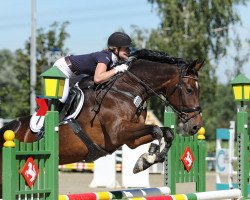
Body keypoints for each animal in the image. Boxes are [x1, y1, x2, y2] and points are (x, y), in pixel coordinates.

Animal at [0, 49, 203, 196]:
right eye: (189, 90)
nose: (196, 126)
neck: (127, 90)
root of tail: (8, 129)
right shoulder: (118, 133)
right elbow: (156, 130)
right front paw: (148, 158)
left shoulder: (130, 139)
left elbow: (166, 132)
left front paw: (147, 159)